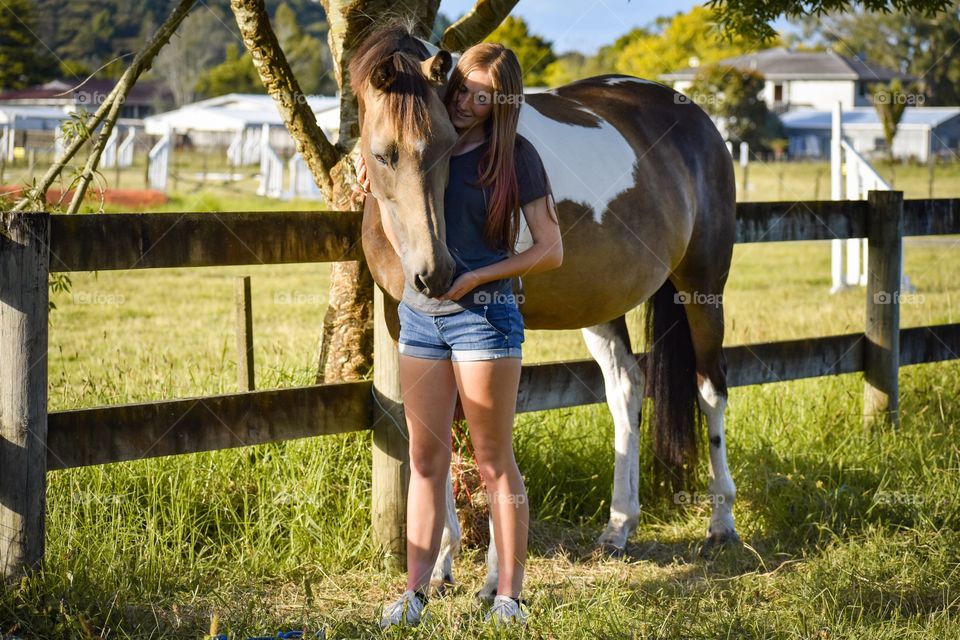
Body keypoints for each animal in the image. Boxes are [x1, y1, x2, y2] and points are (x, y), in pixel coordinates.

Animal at [348, 23, 740, 600]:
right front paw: (440, 565)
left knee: (711, 391)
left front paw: (493, 579)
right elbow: (442, 430)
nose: (436, 273)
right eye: (383, 154)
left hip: (704, 288)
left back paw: (721, 525)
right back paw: (618, 527)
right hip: (600, 303)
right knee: (627, 387)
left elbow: (491, 435)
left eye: (447, 146)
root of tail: (697, 120)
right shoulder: (408, 322)